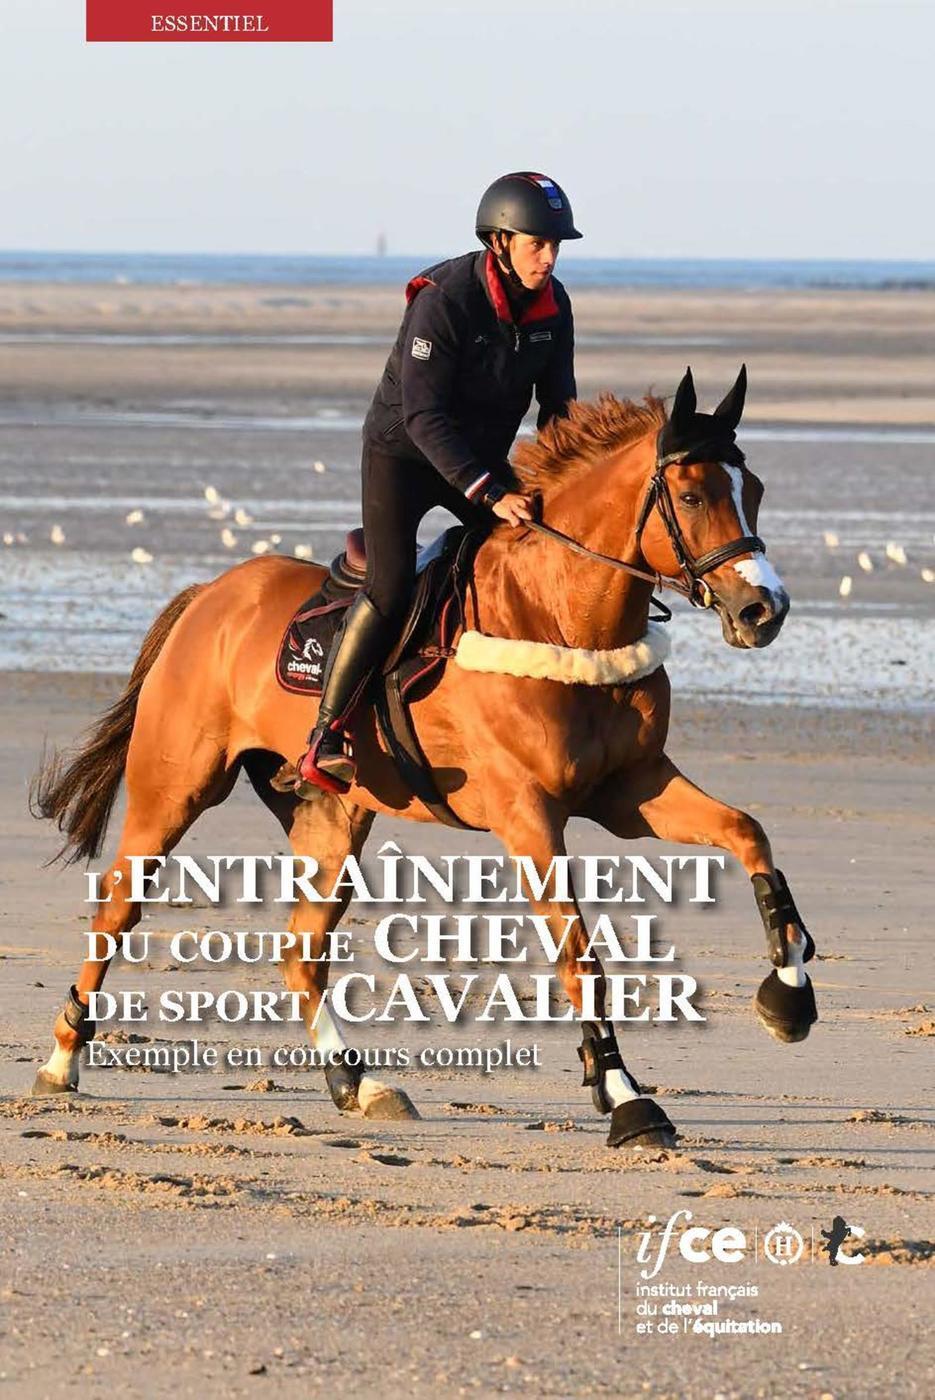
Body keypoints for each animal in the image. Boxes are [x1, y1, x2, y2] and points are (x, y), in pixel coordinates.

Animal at [30, 366, 818, 1150]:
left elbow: (749, 834)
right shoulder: (529, 816)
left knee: (301, 951)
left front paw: (788, 996)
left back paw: (357, 1083)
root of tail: (207, 598)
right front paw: (626, 1098)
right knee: (117, 912)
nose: (765, 610)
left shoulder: (631, 791)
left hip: (331, 817)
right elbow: (580, 959)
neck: (558, 615)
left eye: (753, 490)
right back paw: (62, 1059)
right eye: (692, 495)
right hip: (176, 790)